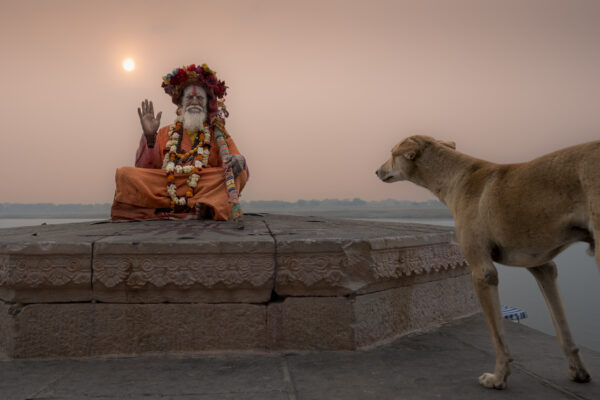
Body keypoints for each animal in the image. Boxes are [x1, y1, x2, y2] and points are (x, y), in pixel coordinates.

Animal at [376, 136, 596, 390]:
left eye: (392, 153)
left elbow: (497, 336)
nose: (377, 171)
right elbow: (562, 327)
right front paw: (578, 371)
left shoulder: (483, 272)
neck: (457, 177)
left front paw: (498, 378)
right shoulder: (542, 265)